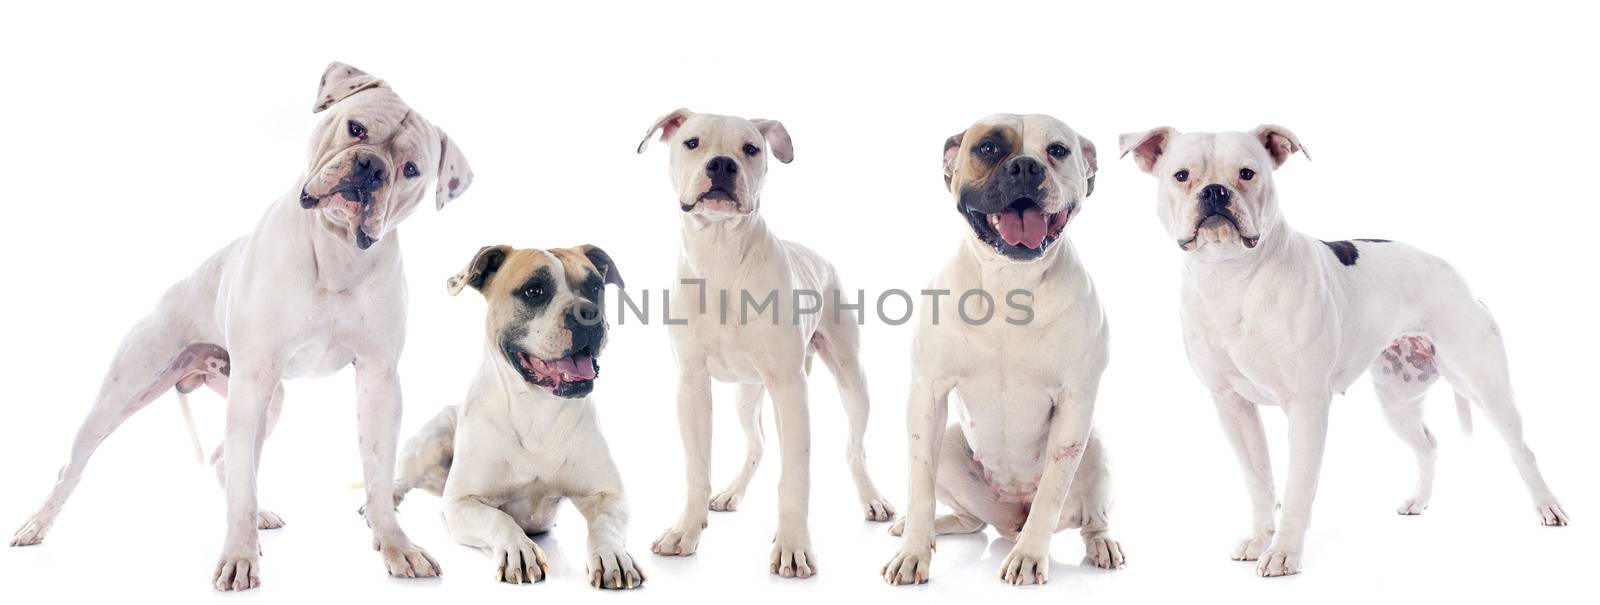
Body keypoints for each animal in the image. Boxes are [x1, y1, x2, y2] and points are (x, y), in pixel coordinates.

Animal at [7, 62, 473, 592]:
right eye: (355, 128)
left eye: (411, 169)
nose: (371, 168)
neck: (336, 252)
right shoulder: (254, 377)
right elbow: (240, 490)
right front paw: (238, 558)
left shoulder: (378, 382)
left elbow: (376, 473)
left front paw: (396, 544)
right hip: (124, 396)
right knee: (78, 465)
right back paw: (36, 526)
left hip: (270, 401)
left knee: (227, 462)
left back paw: (260, 517)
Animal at [387, 243, 643, 588]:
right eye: (534, 291)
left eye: (595, 287)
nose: (588, 313)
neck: (537, 409)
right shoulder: (462, 502)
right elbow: (498, 517)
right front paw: (518, 548)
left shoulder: (608, 494)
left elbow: (606, 526)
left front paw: (612, 554)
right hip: (430, 443)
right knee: (401, 477)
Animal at [876, 113, 1126, 585]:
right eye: (988, 149)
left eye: (1058, 150)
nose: (1026, 166)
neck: (1011, 281)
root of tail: (1010, 517)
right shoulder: (927, 394)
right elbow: (919, 486)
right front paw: (913, 551)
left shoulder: (1076, 402)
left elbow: (1050, 494)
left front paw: (1029, 557)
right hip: (950, 442)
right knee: (969, 520)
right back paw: (923, 528)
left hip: (1097, 448)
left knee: (1090, 518)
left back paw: (1099, 543)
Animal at [1120, 125, 1568, 579]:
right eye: (1181, 175)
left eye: (1247, 173)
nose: (1214, 191)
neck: (1233, 278)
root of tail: (1457, 276)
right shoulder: (1231, 405)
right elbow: (1259, 480)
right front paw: (1260, 539)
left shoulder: (1306, 406)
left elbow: (1298, 487)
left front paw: (1284, 552)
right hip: (1397, 400)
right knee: (1427, 443)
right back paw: (1418, 501)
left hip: (1484, 382)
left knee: (1522, 449)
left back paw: (1548, 508)